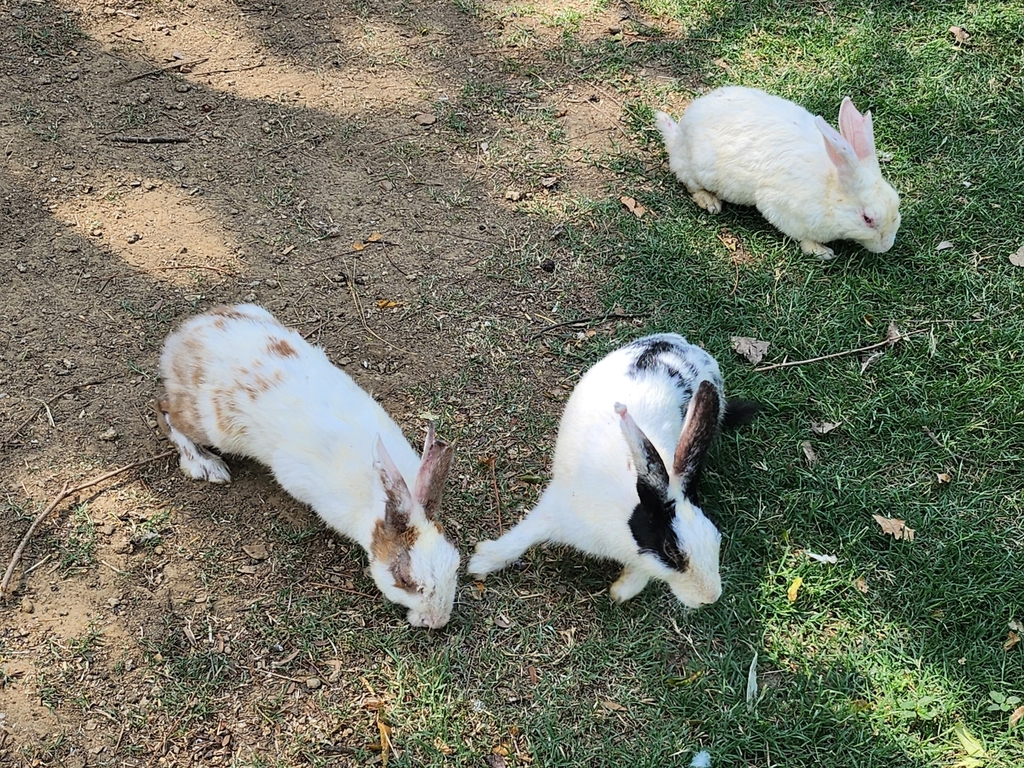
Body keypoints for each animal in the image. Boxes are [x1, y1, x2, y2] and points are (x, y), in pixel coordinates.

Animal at [157, 304, 459, 629]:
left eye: (455, 563)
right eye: (404, 579)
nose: (437, 621)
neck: (376, 502)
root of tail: (185, 336)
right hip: (209, 425)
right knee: (165, 411)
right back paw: (205, 465)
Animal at [468, 334, 758, 608]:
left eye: (715, 536)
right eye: (671, 551)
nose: (710, 597)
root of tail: (685, 346)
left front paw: (620, 592)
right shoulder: (556, 511)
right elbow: (522, 537)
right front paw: (480, 562)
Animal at [655, 86, 901, 260]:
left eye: (897, 205)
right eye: (868, 219)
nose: (886, 246)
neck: (831, 190)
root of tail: (678, 134)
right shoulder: (782, 210)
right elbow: (803, 237)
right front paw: (822, 252)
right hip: (697, 169)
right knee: (689, 183)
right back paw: (710, 202)